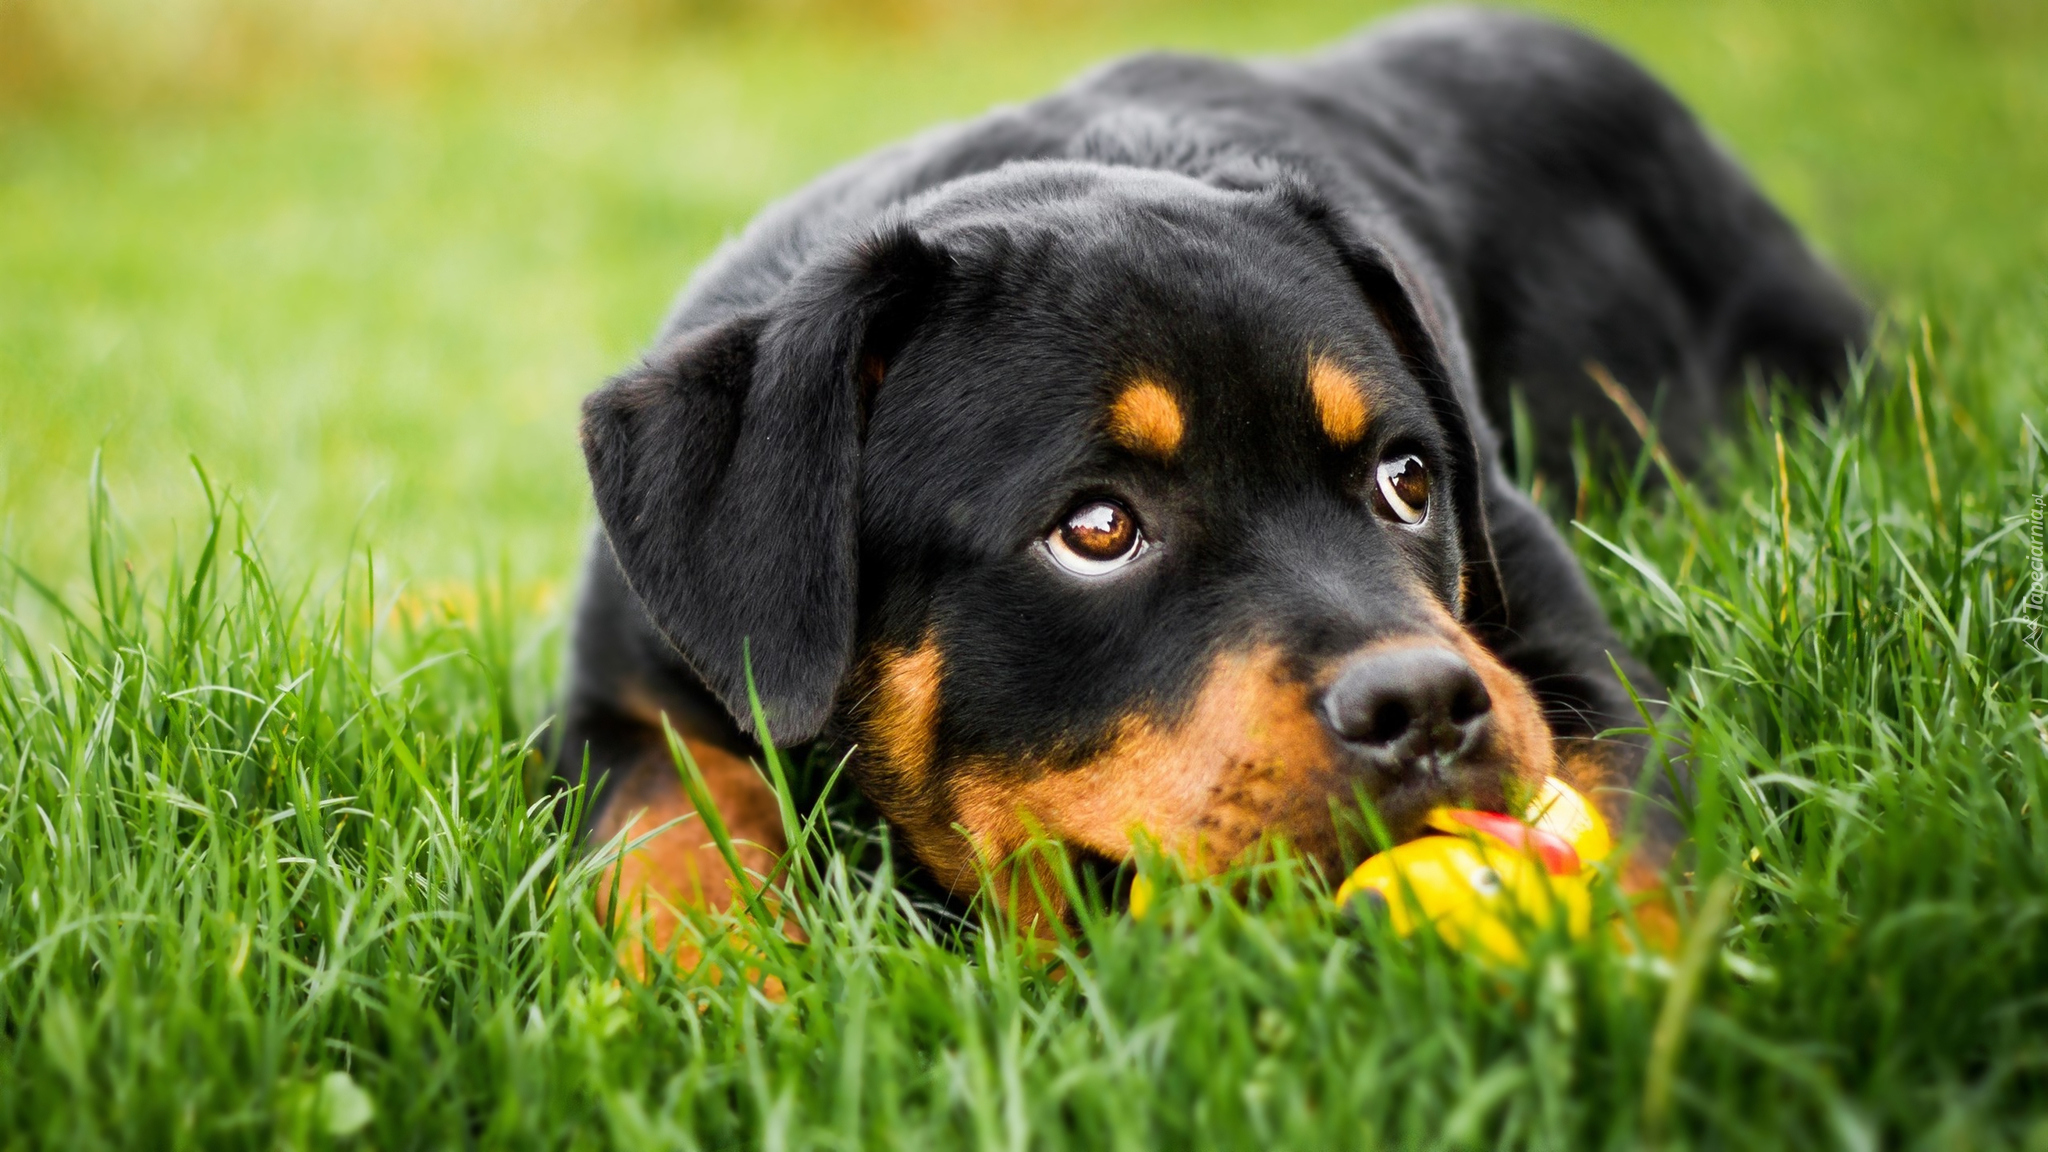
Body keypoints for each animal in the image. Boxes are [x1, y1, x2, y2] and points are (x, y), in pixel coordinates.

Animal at [552, 4, 1867, 947]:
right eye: (1094, 529)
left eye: (1408, 479)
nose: (1422, 705)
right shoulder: (617, 694)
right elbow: (661, 837)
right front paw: (727, 986)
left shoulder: (1554, 639)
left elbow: (1639, 833)